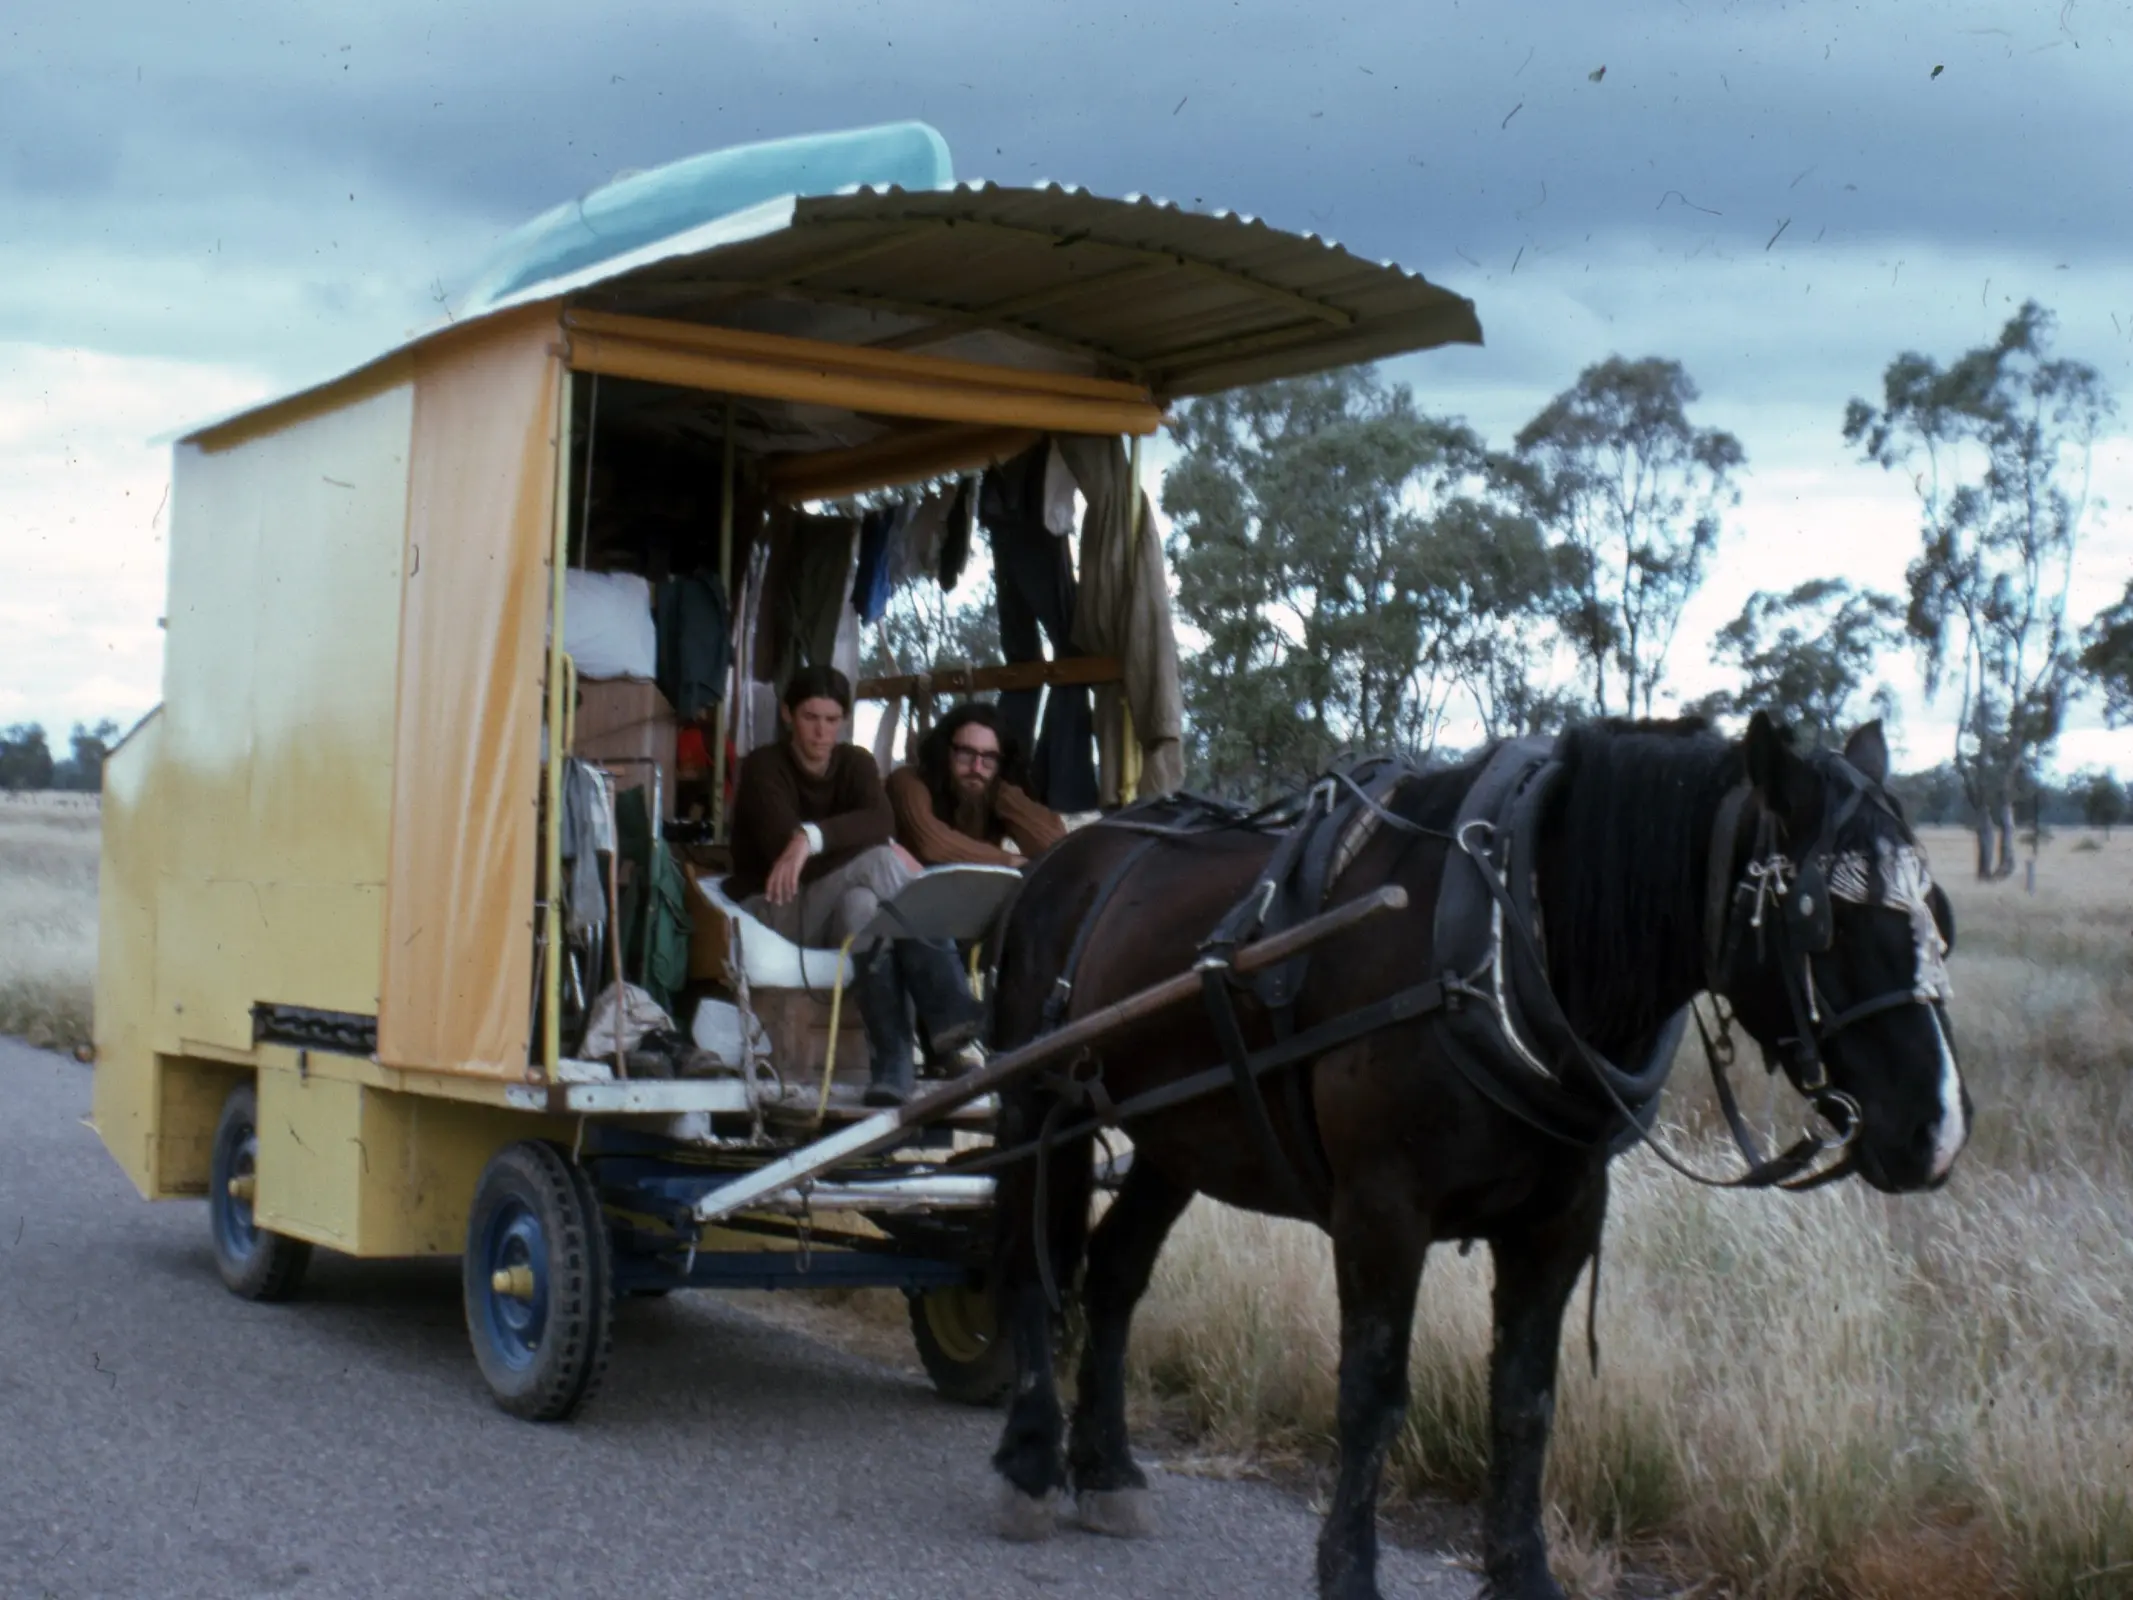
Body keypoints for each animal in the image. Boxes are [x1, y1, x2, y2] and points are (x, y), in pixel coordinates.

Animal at [981, 716, 1962, 1600]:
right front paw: (1348, 1573)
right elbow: (1371, 1394)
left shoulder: (1558, 1224)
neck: (1506, 945)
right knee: (1031, 1267)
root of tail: (1067, 854)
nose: (1938, 1131)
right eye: (1820, 919)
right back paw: (1029, 1457)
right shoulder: (1380, 1213)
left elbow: (1523, 1403)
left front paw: (1521, 1573)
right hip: (1035, 1102)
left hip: (1176, 1136)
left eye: (1935, 912)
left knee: (1112, 1272)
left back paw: (1105, 1466)